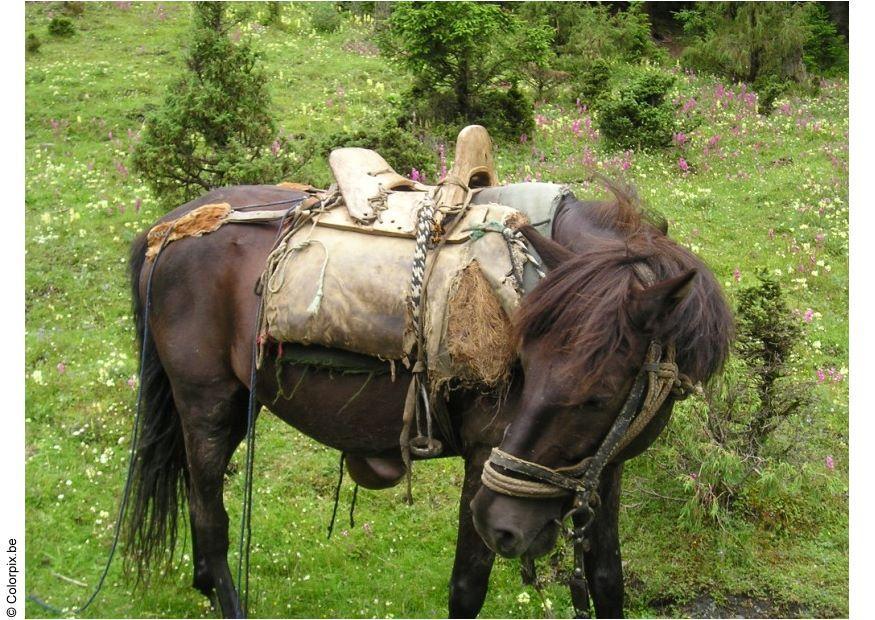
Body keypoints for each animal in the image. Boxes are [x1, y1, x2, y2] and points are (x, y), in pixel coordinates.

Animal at [126, 179, 736, 616]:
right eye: (525, 365)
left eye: (600, 395)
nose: (502, 523)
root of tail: (167, 227)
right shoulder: (484, 460)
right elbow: (468, 585)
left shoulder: (601, 470)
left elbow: (607, 580)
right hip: (206, 406)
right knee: (210, 520)